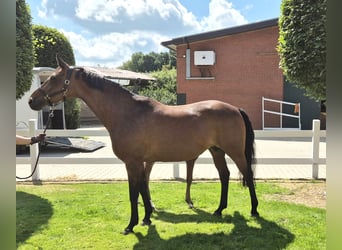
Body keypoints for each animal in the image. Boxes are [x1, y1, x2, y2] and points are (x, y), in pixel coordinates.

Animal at [30, 54, 260, 234]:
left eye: (53, 78)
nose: (32, 100)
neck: (127, 113)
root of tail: (235, 108)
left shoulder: (132, 162)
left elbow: (134, 193)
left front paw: (130, 225)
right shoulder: (140, 162)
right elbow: (142, 188)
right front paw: (147, 217)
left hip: (234, 151)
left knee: (247, 174)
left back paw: (254, 210)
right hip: (217, 150)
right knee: (225, 175)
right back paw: (219, 210)